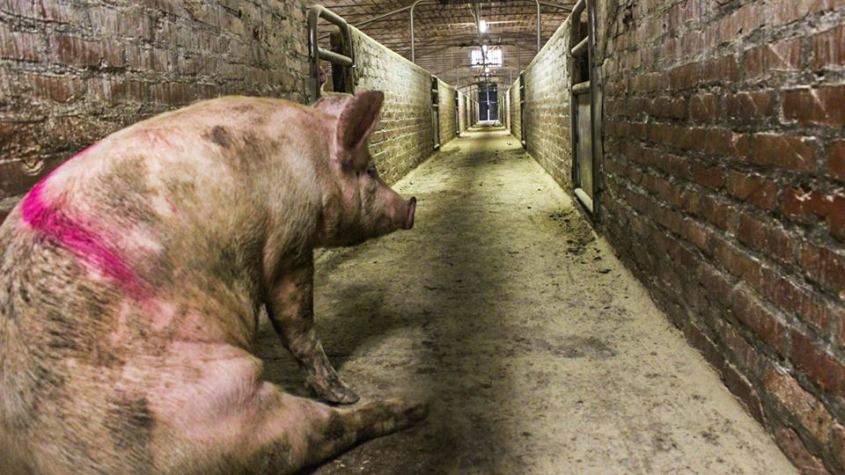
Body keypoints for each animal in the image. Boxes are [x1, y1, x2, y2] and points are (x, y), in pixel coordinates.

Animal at [0, 90, 424, 474]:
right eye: (370, 171)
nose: (411, 206)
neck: (315, 161)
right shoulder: (290, 241)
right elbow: (297, 320)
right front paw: (343, 392)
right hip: (217, 405)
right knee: (315, 432)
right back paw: (409, 407)